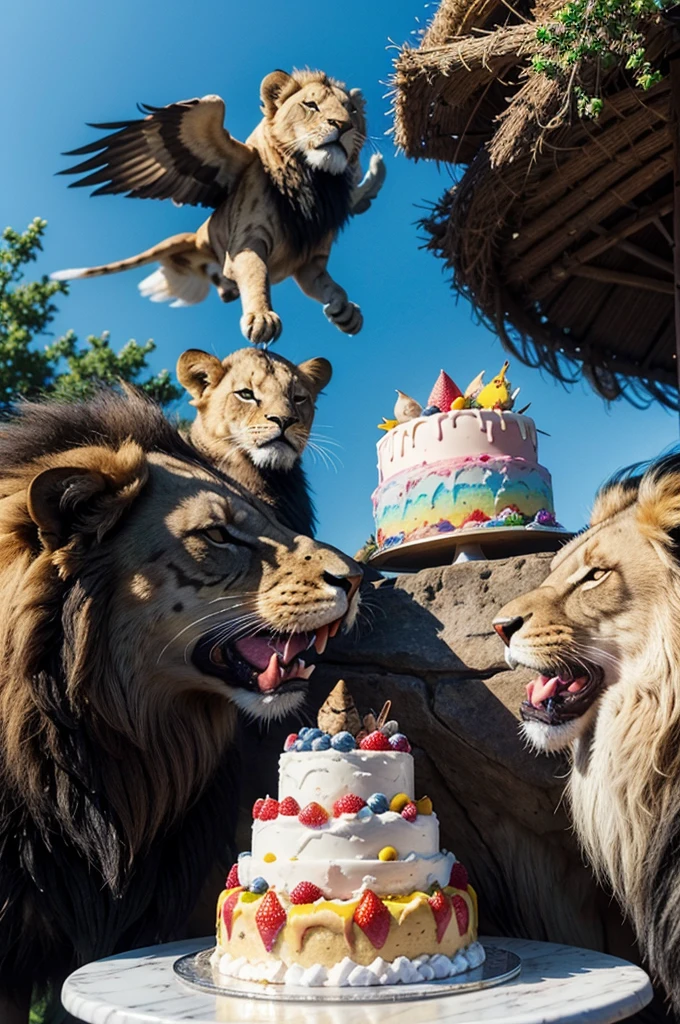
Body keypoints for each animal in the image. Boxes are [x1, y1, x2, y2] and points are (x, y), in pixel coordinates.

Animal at [50, 71, 385, 348]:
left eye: (352, 111)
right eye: (311, 105)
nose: (343, 126)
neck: (314, 178)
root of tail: (197, 237)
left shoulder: (310, 262)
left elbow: (331, 288)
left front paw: (346, 314)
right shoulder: (247, 243)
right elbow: (256, 274)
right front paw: (261, 319)